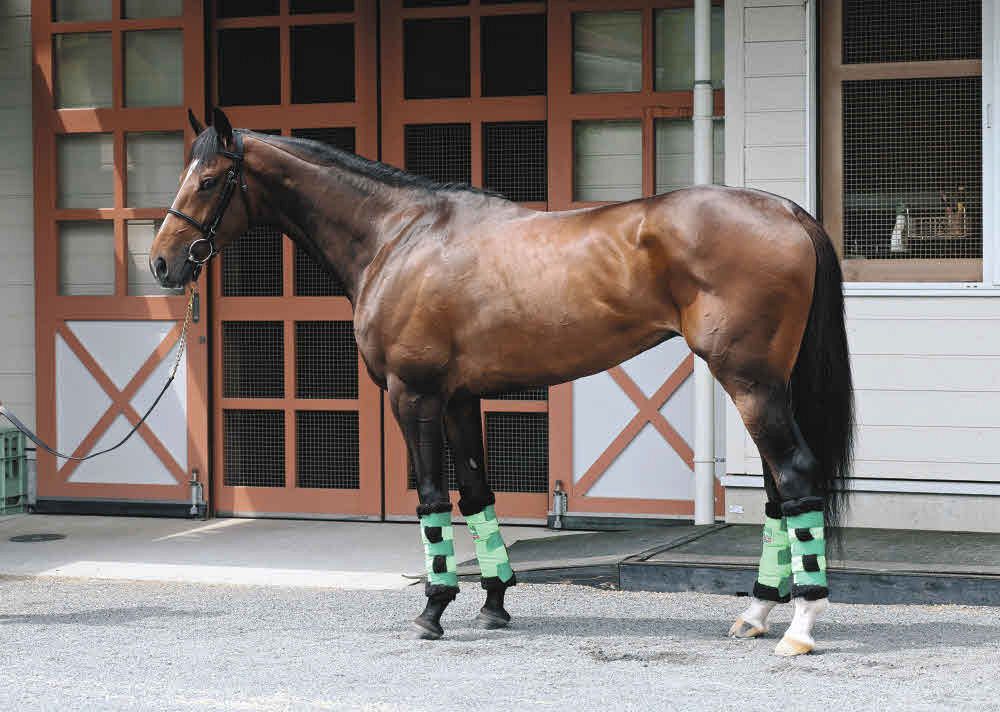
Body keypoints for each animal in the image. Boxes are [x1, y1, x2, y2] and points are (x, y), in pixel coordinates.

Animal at [151, 108, 853, 656]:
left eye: (209, 179)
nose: (161, 262)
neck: (399, 236)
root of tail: (786, 210)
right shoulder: (461, 398)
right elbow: (477, 494)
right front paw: (493, 602)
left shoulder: (413, 395)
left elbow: (432, 499)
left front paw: (433, 609)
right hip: (763, 385)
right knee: (776, 493)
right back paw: (756, 613)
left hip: (751, 382)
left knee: (795, 476)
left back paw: (800, 626)